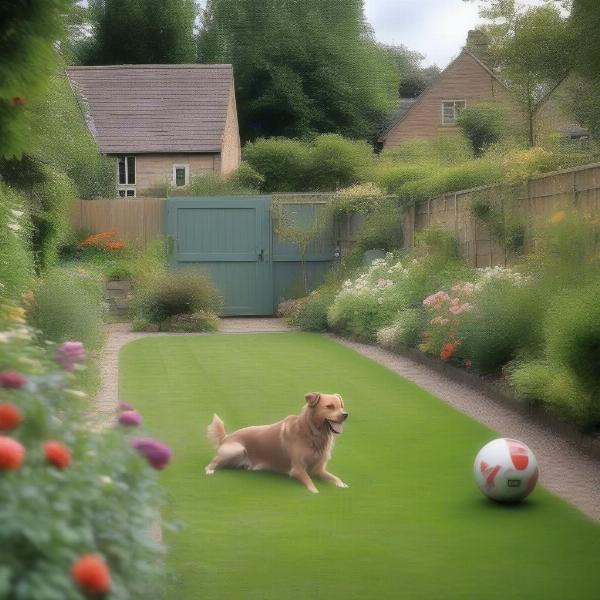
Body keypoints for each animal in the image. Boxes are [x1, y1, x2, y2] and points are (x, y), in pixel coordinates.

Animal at [205, 392, 350, 494]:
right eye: (329, 407)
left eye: (341, 407)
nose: (345, 415)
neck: (311, 433)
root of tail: (226, 437)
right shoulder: (297, 469)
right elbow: (311, 484)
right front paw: (315, 491)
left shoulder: (319, 469)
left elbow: (335, 478)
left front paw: (342, 485)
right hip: (237, 449)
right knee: (213, 462)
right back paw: (209, 471)